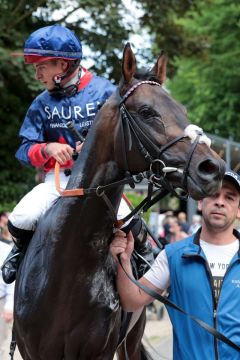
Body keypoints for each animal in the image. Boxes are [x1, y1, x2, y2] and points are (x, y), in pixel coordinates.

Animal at [14, 43, 225, 358]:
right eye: (147, 111)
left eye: (183, 110)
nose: (213, 168)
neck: (67, 270)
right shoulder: (33, 350)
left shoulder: (101, 348)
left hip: (132, 337)